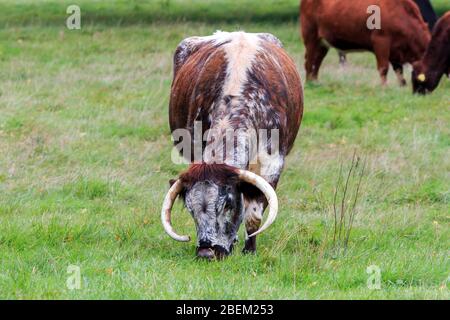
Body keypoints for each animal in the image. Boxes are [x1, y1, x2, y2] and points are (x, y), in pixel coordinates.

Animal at [160, 30, 304, 260]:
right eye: (190, 209)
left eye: (227, 204)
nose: (206, 251)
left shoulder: (272, 162)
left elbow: (254, 212)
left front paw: (249, 249)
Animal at [300, 0, 430, 85]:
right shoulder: (381, 41)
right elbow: (383, 68)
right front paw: (384, 87)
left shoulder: (395, 50)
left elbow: (399, 71)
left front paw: (401, 87)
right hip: (311, 36)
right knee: (309, 62)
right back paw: (309, 83)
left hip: (323, 43)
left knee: (317, 62)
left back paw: (315, 82)